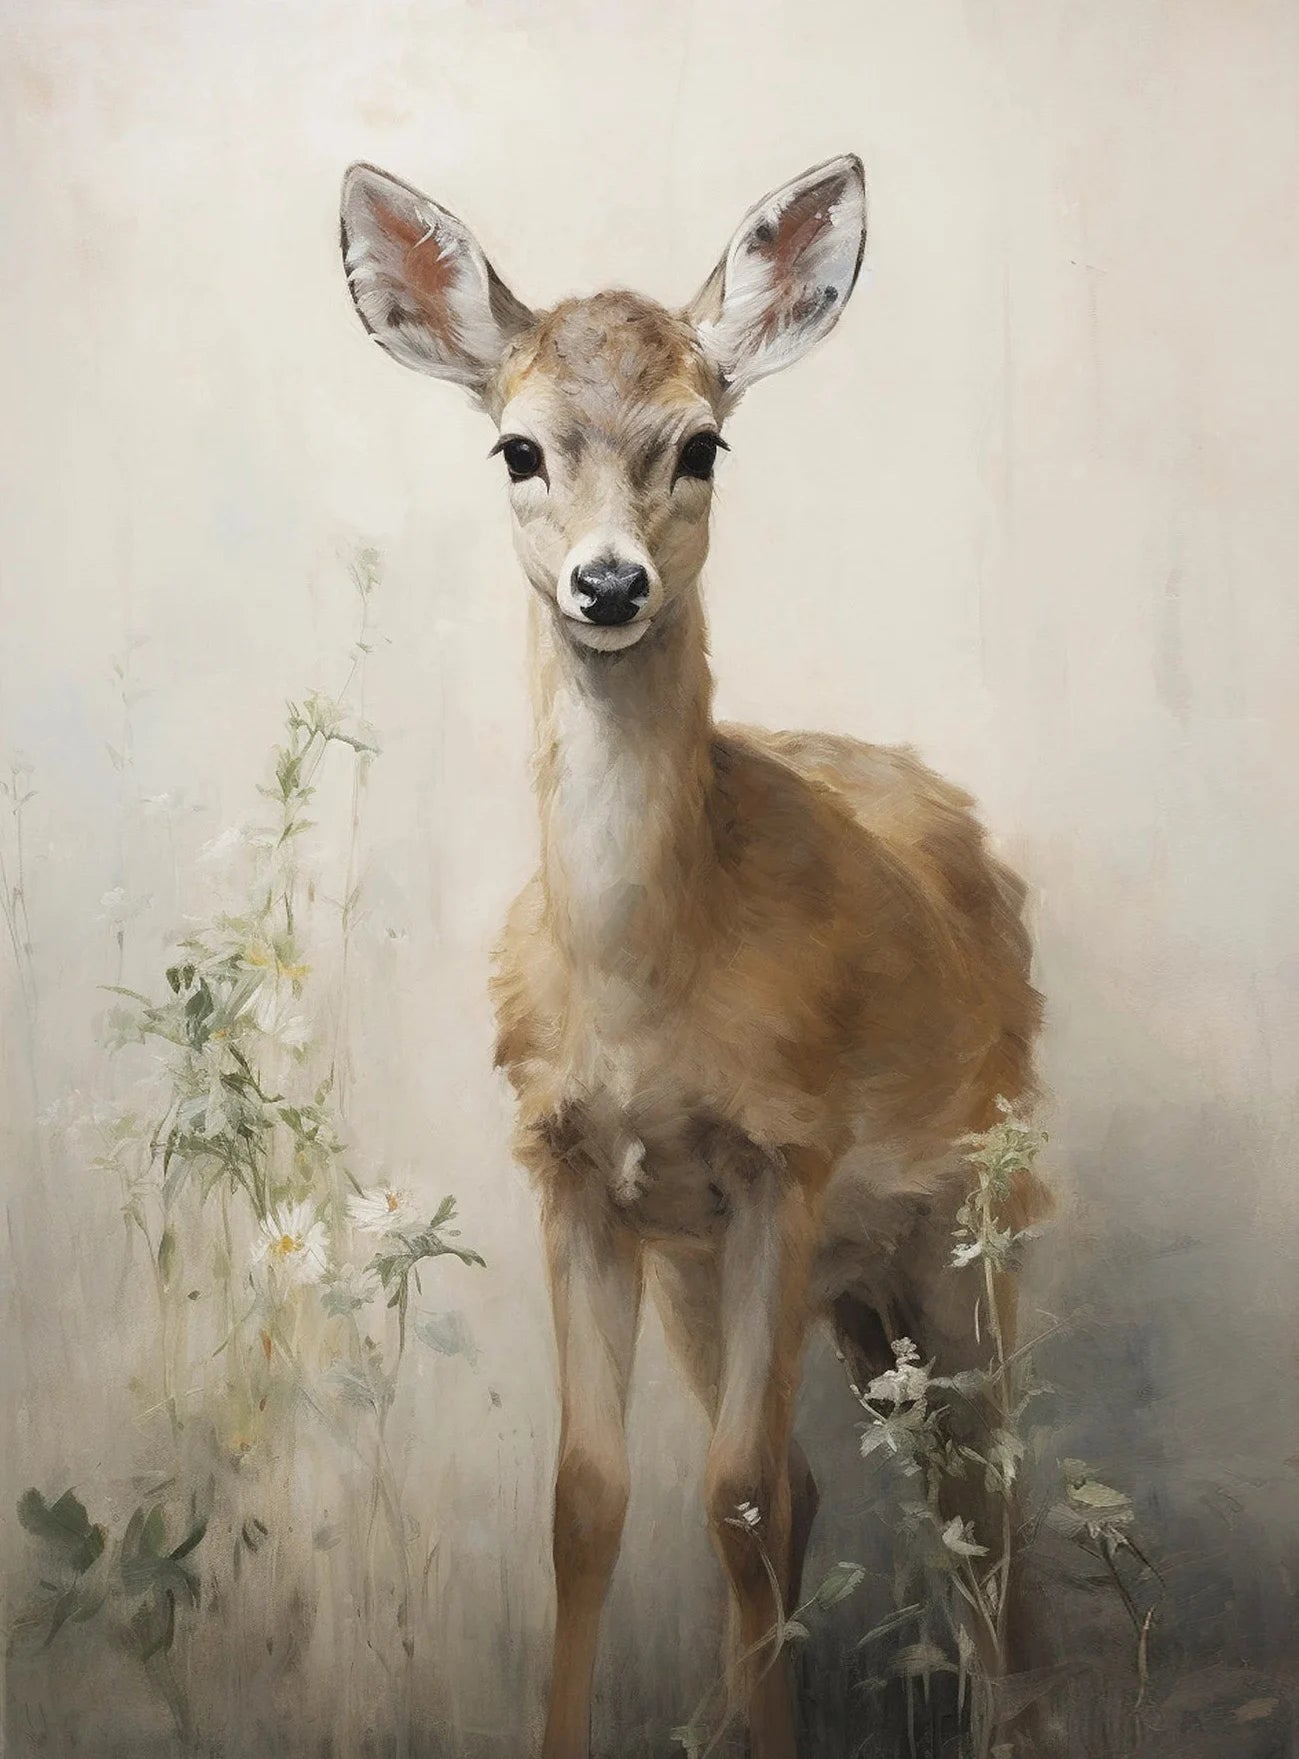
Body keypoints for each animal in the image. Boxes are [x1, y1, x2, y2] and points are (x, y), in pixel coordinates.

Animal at [340, 154, 1046, 1759]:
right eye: (517, 448)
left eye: (703, 440)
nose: (609, 585)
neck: (641, 986)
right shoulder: (578, 1170)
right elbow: (589, 1500)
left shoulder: (785, 1151)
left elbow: (732, 1497)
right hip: (740, 1272)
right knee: (844, 1476)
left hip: (972, 1212)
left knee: (987, 1481)